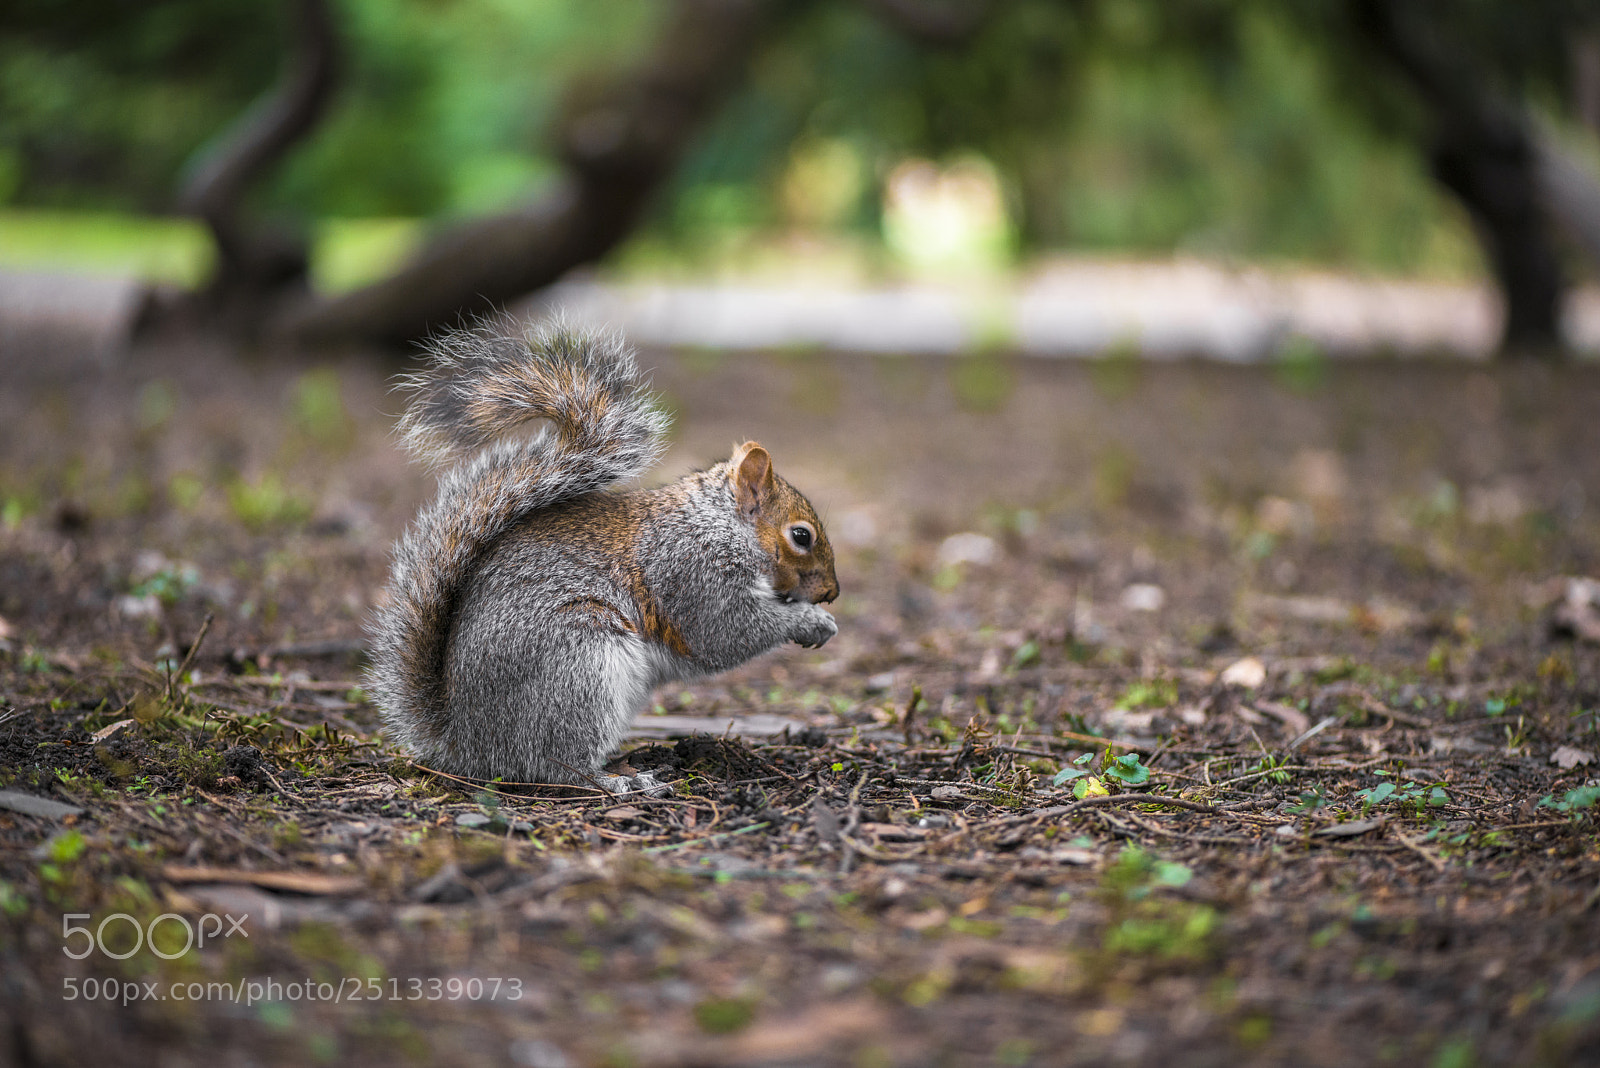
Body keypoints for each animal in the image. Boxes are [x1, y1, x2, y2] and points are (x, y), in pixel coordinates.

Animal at [366, 319, 839, 795]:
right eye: (801, 536)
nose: (832, 593)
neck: (718, 524)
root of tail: (465, 743)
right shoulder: (691, 571)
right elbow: (728, 630)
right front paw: (809, 621)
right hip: (579, 666)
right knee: (553, 763)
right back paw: (616, 781)